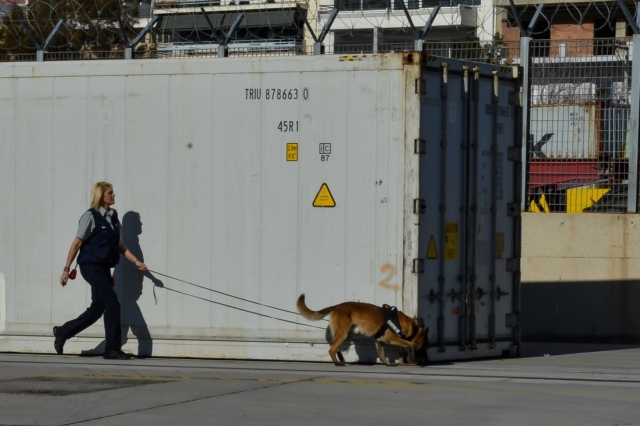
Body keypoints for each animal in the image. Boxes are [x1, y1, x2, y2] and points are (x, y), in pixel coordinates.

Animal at [298, 292, 428, 366]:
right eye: (424, 346)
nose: (426, 360)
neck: (412, 329)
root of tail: (335, 306)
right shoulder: (392, 339)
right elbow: (410, 344)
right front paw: (412, 356)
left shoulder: (379, 341)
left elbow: (382, 354)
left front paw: (387, 363)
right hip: (344, 334)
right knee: (331, 349)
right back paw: (337, 363)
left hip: (349, 334)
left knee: (332, 344)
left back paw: (341, 358)